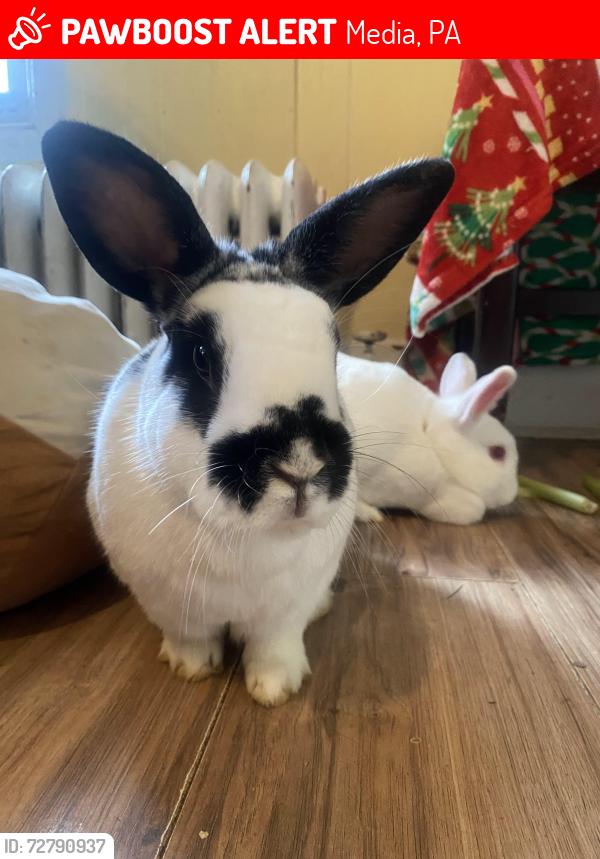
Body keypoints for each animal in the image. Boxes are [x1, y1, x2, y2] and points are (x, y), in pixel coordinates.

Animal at [42, 120, 454, 706]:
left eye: (333, 350)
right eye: (199, 356)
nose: (300, 465)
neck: (246, 538)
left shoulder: (285, 610)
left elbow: (274, 644)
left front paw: (275, 690)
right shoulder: (172, 605)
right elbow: (190, 636)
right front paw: (191, 669)